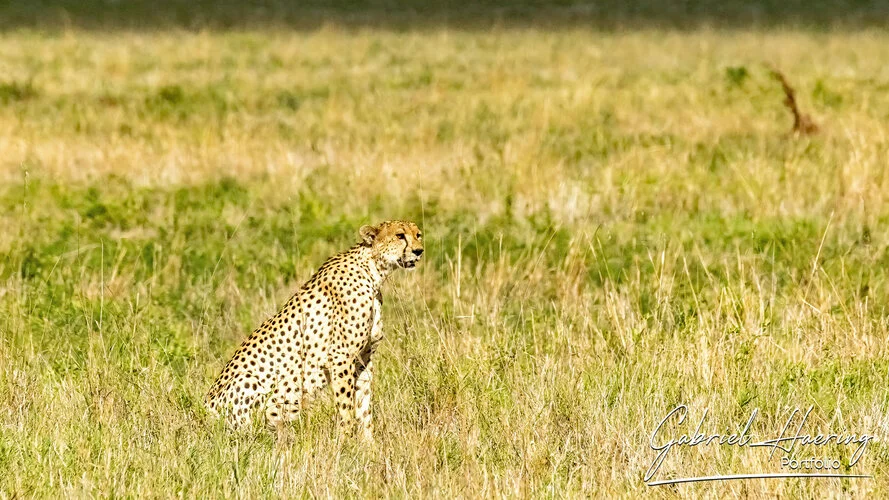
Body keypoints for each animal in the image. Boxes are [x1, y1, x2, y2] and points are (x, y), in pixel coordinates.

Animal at [206, 221, 422, 440]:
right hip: (250, 381)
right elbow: (345, 406)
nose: (419, 251)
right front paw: (345, 441)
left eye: (418, 235)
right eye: (400, 235)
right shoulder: (341, 356)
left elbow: (364, 406)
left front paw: (368, 443)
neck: (373, 271)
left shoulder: (363, 359)